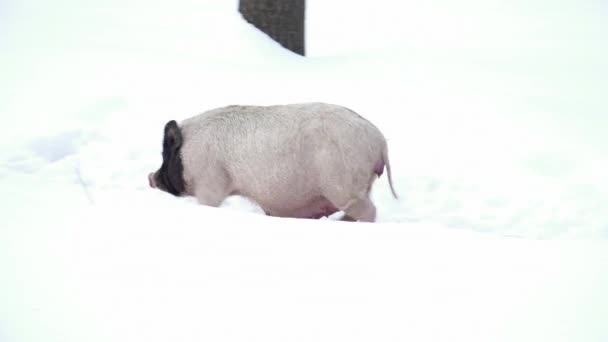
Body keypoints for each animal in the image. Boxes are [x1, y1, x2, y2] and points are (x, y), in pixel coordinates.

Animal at [148, 102, 400, 222]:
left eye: (166, 153)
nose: (150, 177)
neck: (189, 151)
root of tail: (379, 140)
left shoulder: (211, 181)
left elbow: (208, 204)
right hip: (357, 186)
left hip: (344, 185)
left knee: (369, 212)